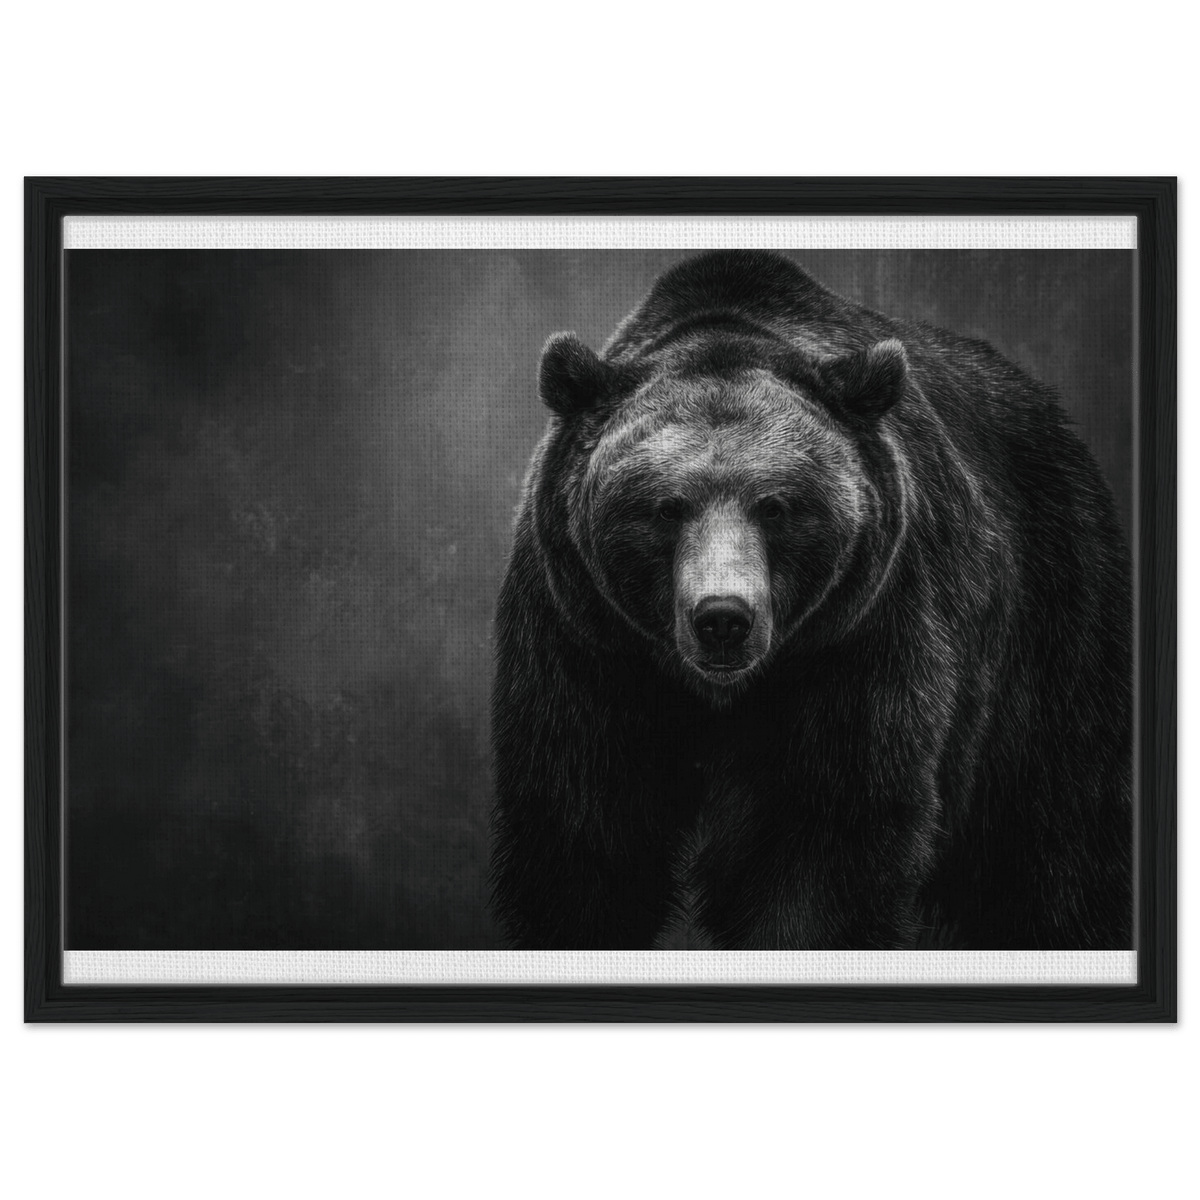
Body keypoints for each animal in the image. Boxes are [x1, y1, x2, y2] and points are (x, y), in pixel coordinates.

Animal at [489, 250, 1132, 951]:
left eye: (776, 506)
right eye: (665, 507)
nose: (723, 620)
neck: (720, 694)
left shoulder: (860, 638)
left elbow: (824, 842)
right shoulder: (585, 643)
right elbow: (584, 834)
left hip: (1050, 622)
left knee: (1052, 840)